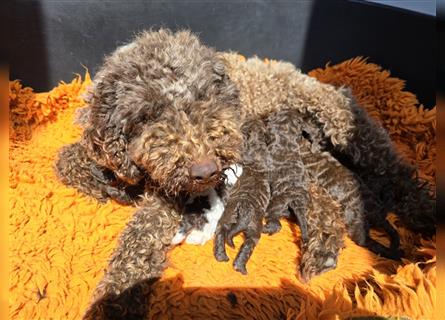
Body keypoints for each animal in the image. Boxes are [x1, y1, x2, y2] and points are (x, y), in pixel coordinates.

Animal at [54, 28, 434, 318]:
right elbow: (66, 160)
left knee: (398, 173)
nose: (205, 170)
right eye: (148, 114)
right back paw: (322, 251)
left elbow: (143, 234)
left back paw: (424, 216)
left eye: (204, 99)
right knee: (324, 205)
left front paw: (115, 296)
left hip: (348, 128)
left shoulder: (173, 191)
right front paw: (111, 185)